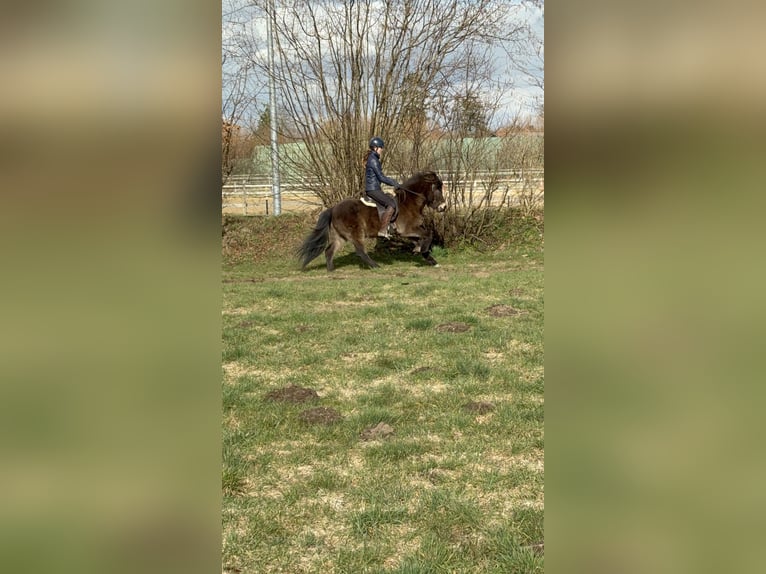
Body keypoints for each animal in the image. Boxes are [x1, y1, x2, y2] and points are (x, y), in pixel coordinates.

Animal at [298, 171, 447, 271]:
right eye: (437, 188)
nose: (443, 207)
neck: (409, 202)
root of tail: (333, 208)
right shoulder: (408, 229)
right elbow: (428, 234)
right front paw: (425, 252)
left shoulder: (408, 232)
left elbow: (420, 239)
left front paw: (425, 255)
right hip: (355, 233)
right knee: (360, 251)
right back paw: (375, 266)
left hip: (340, 236)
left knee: (329, 251)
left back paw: (331, 270)